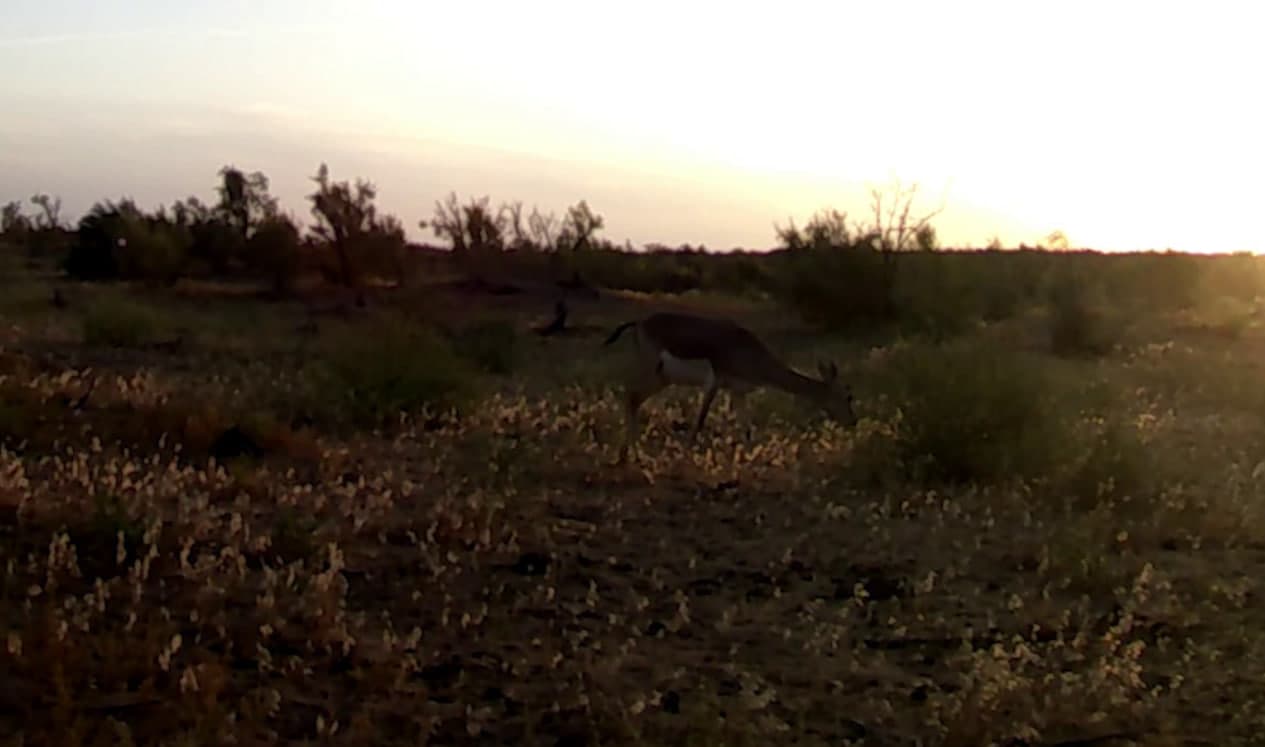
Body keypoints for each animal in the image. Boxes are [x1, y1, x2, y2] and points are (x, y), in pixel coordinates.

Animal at [603, 311, 857, 462]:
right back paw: (633, 455)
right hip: (654, 374)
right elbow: (699, 423)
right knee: (631, 396)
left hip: (662, 379)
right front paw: (686, 458)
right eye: (847, 395)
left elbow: (746, 430)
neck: (750, 353)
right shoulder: (714, 383)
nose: (853, 422)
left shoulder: (737, 391)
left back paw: (628, 455)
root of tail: (639, 322)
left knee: (632, 398)